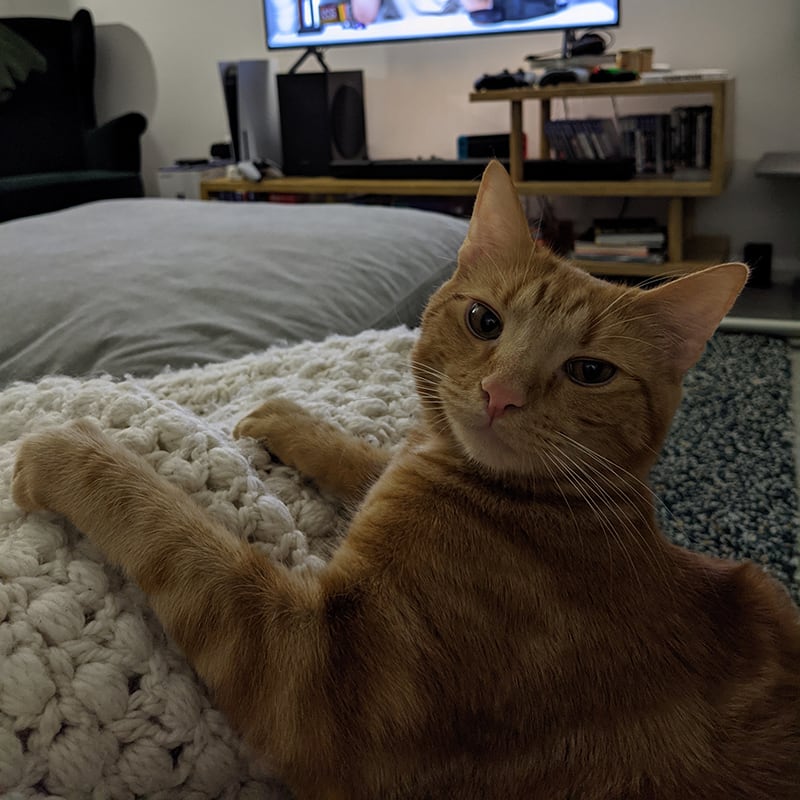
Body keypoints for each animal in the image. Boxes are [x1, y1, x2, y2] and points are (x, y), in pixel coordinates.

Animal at [12, 159, 800, 796]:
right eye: (484, 320)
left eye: (589, 371)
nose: (501, 394)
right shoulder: (403, 467)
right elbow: (368, 460)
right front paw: (292, 422)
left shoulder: (319, 679)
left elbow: (179, 536)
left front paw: (70, 448)